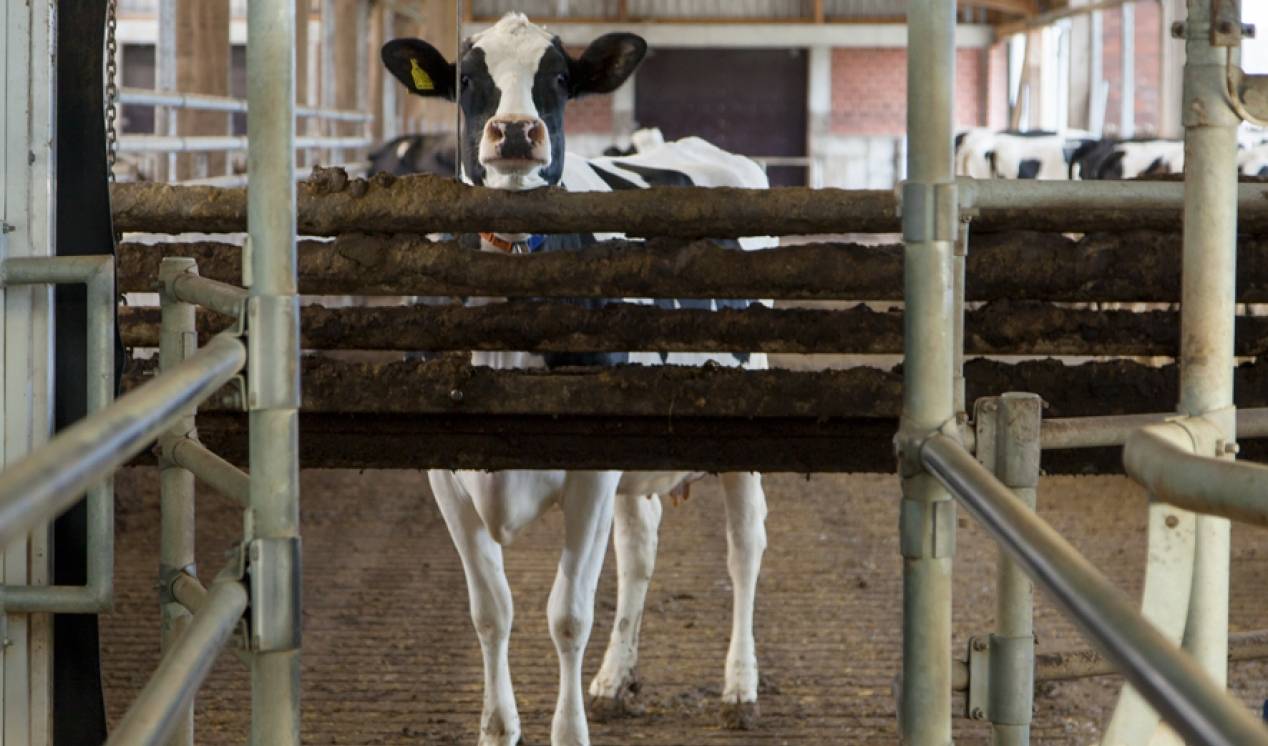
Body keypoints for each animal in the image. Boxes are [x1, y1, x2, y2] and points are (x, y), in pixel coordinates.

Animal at [377, 13, 770, 746]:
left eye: (559, 79)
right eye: (466, 81)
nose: (513, 131)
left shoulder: (591, 471)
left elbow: (568, 615)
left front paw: (567, 731)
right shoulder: (445, 473)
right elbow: (491, 612)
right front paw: (496, 728)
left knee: (744, 550)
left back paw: (740, 686)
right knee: (640, 549)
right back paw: (616, 678)